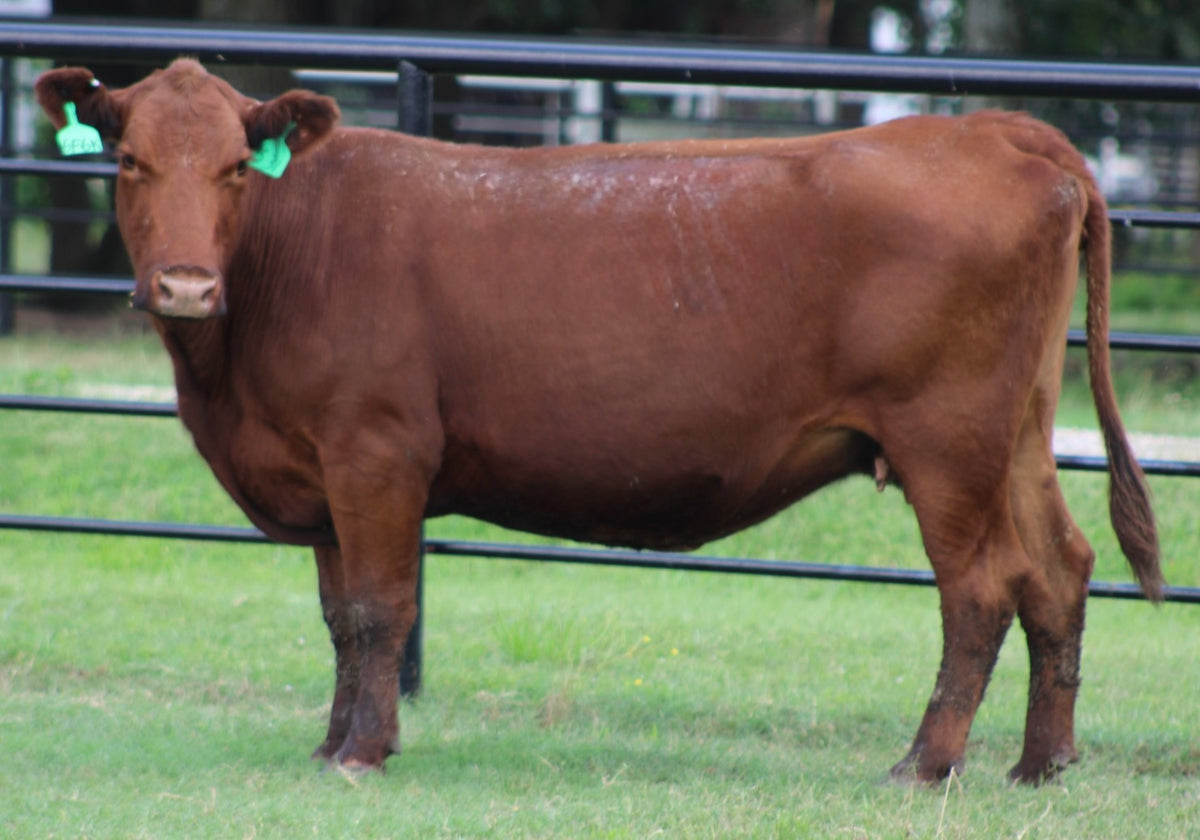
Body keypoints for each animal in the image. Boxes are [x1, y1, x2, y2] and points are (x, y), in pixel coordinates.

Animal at [35, 59, 1162, 785]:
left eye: (236, 167)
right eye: (129, 162)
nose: (185, 285)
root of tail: (988, 128)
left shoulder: (376, 454)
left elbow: (381, 609)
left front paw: (362, 754)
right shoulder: (318, 472)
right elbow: (337, 614)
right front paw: (329, 743)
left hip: (947, 440)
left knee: (981, 589)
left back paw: (925, 764)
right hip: (1017, 435)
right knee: (1058, 568)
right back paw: (1040, 764)